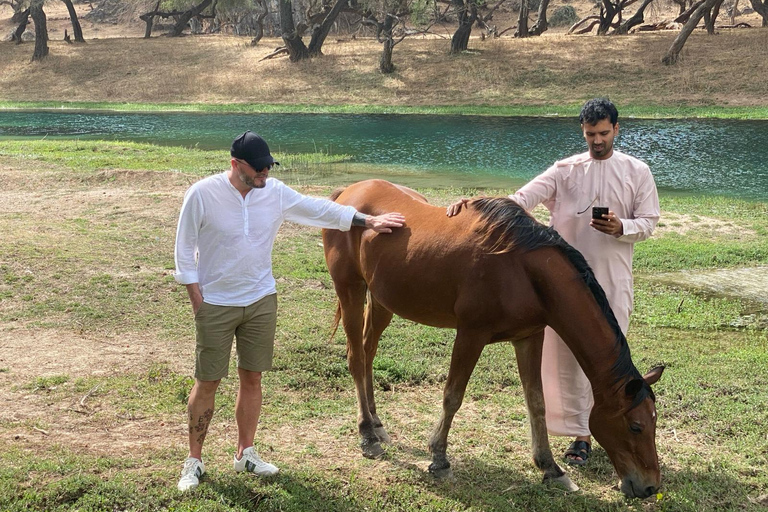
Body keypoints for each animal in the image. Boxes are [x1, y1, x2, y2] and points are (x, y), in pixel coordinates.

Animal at [320, 178, 664, 498]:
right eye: (635, 426)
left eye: (654, 422)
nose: (649, 487)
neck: (522, 268)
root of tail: (349, 192)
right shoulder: (470, 335)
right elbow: (453, 396)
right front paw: (439, 458)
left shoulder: (529, 337)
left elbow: (536, 401)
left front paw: (550, 468)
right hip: (350, 290)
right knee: (356, 358)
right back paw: (367, 434)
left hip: (381, 301)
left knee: (368, 352)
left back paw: (377, 424)